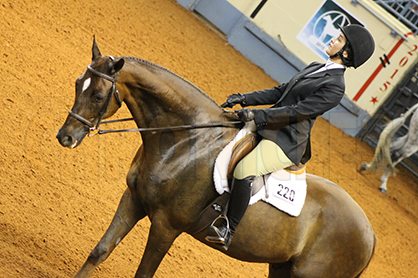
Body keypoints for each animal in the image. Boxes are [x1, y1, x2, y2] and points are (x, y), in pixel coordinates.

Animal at [55, 38, 376, 278]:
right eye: (77, 83)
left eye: (98, 96)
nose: (65, 137)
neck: (184, 142)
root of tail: (370, 234)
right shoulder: (133, 199)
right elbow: (100, 251)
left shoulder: (166, 226)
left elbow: (143, 273)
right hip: (282, 267)